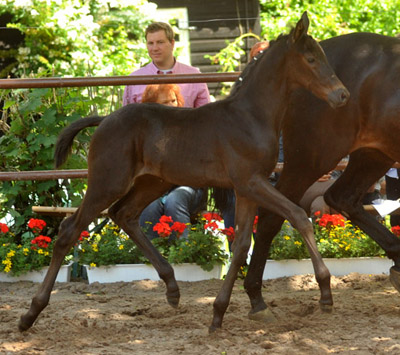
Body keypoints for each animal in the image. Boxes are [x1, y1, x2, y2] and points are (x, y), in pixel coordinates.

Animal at [19, 11, 350, 334]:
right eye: (311, 59)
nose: (343, 95)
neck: (250, 116)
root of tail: (104, 121)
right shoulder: (251, 182)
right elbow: (298, 217)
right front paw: (325, 292)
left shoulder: (246, 188)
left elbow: (242, 244)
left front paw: (220, 313)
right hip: (107, 182)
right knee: (69, 230)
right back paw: (30, 313)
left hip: (152, 182)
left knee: (123, 214)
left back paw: (172, 287)